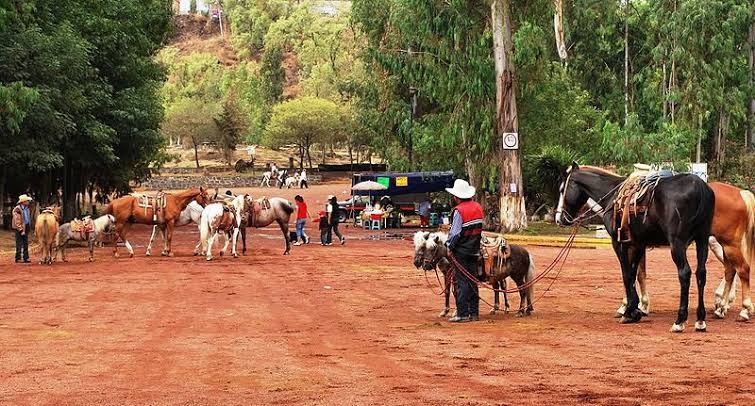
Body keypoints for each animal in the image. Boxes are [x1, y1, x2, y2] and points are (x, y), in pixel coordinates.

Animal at [560, 163, 716, 334]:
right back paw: (700, 320)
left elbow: (626, 275)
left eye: (562, 189)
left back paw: (679, 320)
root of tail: (699, 186)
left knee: (685, 273)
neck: (612, 195)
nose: (560, 218)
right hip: (702, 240)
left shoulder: (619, 243)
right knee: (701, 273)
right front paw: (633, 309)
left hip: (677, 243)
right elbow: (634, 274)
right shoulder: (638, 244)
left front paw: (629, 311)